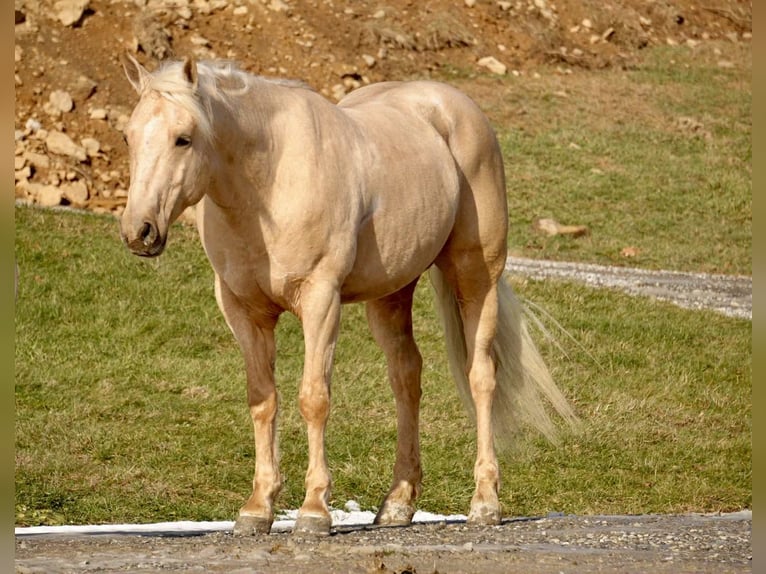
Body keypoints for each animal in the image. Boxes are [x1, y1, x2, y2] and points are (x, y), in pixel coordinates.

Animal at [119, 54, 577, 536]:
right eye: (128, 136)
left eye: (183, 138)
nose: (139, 231)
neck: (269, 181)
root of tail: (455, 107)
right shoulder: (244, 311)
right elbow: (263, 401)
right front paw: (258, 507)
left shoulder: (321, 301)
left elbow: (313, 398)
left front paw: (314, 510)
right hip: (391, 294)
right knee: (406, 377)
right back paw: (397, 504)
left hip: (476, 277)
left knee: (481, 376)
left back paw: (485, 502)